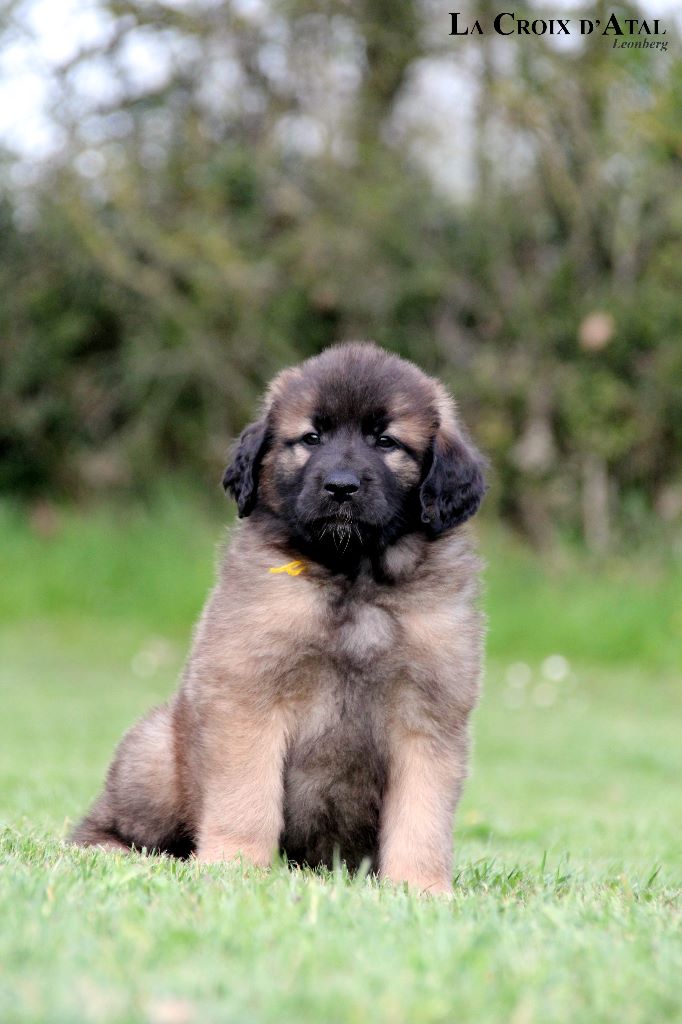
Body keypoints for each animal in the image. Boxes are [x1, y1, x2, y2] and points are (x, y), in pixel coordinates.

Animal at [72, 342, 486, 894]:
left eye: (385, 441)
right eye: (310, 438)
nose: (340, 487)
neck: (352, 578)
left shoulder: (427, 718)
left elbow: (422, 818)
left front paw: (420, 889)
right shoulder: (249, 696)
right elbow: (245, 798)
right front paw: (233, 865)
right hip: (156, 750)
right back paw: (111, 849)